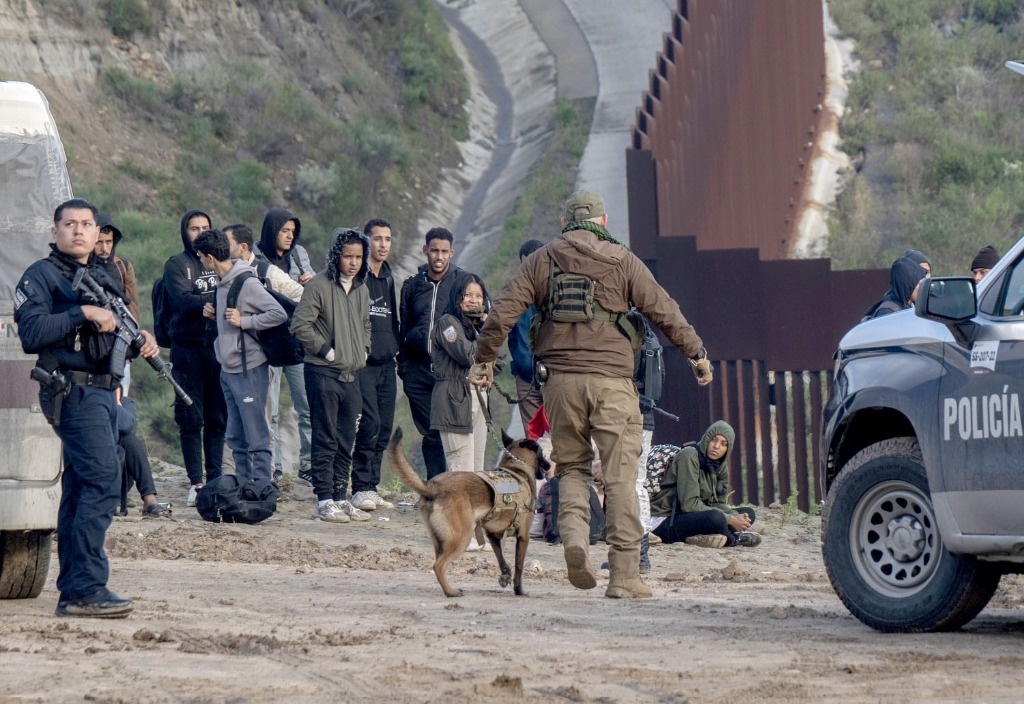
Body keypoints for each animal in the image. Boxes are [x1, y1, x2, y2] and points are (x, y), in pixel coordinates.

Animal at [385, 425, 548, 597]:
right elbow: (519, 567)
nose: (549, 465)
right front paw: (519, 590)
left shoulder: (493, 535)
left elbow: (502, 560)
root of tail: (433, 487)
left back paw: (447, 589)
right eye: (542, 453)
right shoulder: (523, 536)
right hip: (462, 537)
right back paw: (452, 592)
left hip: (440, 540)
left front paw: (505, 577)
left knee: (437, 563)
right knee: (438, 566)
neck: (516, 467)